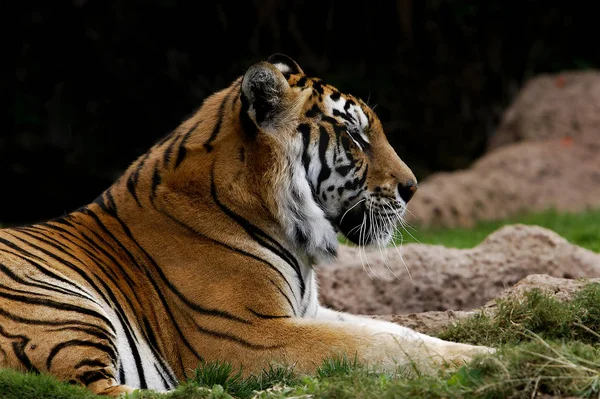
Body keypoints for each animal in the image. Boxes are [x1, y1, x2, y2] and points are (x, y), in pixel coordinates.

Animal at [0, 54, 492, 396]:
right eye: (354, 135)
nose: (412, 188)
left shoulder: (307, 312)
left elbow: (395, 332)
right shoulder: (249, 333)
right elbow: (375, 347)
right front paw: (486, 360)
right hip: (58, 303)